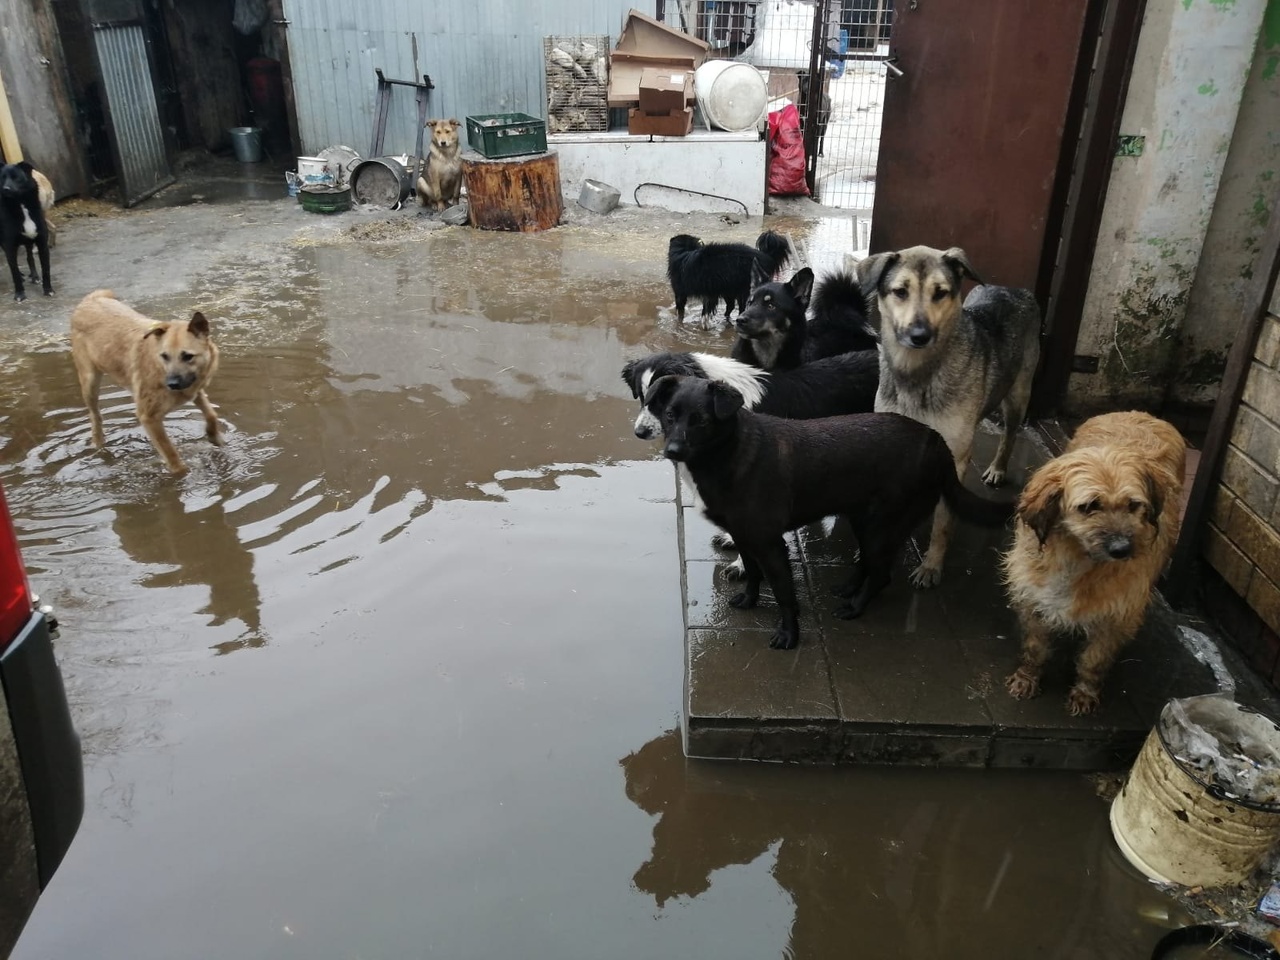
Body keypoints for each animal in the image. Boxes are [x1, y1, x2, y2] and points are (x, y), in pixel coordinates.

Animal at [0, 161, 52, 302]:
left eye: (16, 177)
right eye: (2, 178)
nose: (5, 189)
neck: (21, 205)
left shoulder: (42, 243)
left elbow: (46, 269)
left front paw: (48, 290)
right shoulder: (9, 246)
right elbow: (14, 273)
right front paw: (19, 294)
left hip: (29, 242)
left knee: (29, 258)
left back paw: (34, 276)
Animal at [72, 289, 225, 478]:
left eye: (188, 356)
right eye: (165, 356)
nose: (171, 384)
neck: (160, 368)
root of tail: (91, 299)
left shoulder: (195, 390)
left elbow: (211, 414)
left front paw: (214, 436)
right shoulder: (149, 418)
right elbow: (171, 454)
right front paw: (182, 476)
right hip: (90, 382)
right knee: (96, 418)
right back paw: (99, 445)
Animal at [645, 376, 1013, 655]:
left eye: (701, 421)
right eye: (669, 415)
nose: (672, 451)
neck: (728, 454)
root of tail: (937, 441)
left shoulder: (771, 545)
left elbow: (784, 593)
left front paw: (789, 636)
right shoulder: (745, 538)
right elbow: (752, 573)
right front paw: (749, 600)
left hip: (882, 525)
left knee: (881, 573)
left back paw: (854, 607)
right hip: (866, 521)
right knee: (868, 562)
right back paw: (849, 588)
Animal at [860, 244, 1039, 591]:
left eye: (940, 293)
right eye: (900, 291)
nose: (920, 335)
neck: (916, 373)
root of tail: (1017, 290)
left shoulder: (955, 456)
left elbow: (943, 521)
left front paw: (931, 565)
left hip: (1017, 397)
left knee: (1009, 435)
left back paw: (998, 468)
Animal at [998, 409, 1187, 716]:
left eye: (1134, 505)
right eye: (1089, 507)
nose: (1122, 549)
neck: (1078, 560)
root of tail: (1139, 413)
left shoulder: (1116, 616)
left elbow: (1094, 661)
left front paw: (1085, 692)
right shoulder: (1034, 599)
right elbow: (1035, 647)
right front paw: (1028, 677)